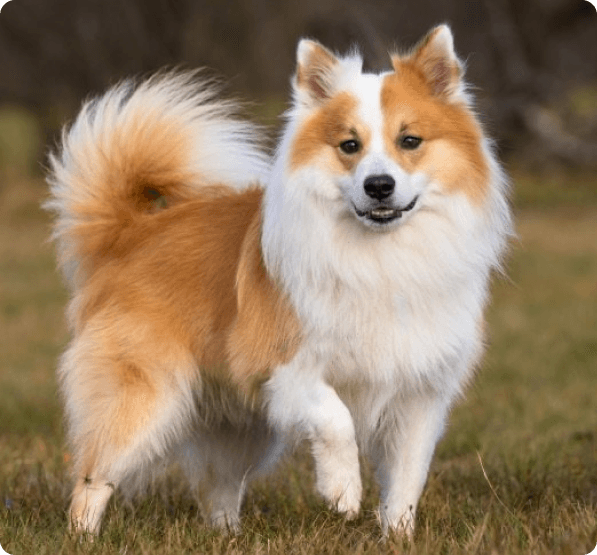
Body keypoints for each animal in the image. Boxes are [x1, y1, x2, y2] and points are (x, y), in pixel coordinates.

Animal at [46, 26, 510, 540]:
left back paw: (228, 538)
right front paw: (342, 490)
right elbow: (337, 418)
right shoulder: (283, 366)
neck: (381, 254)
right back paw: (84, 537)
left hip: (236, 426)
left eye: (410, 141)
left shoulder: (419, 394)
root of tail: (130, 233)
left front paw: (398, 538)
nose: (379, 185)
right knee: (93, 477)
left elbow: (407, 479)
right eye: (349, 146)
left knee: (217, 488)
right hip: (145, 398)